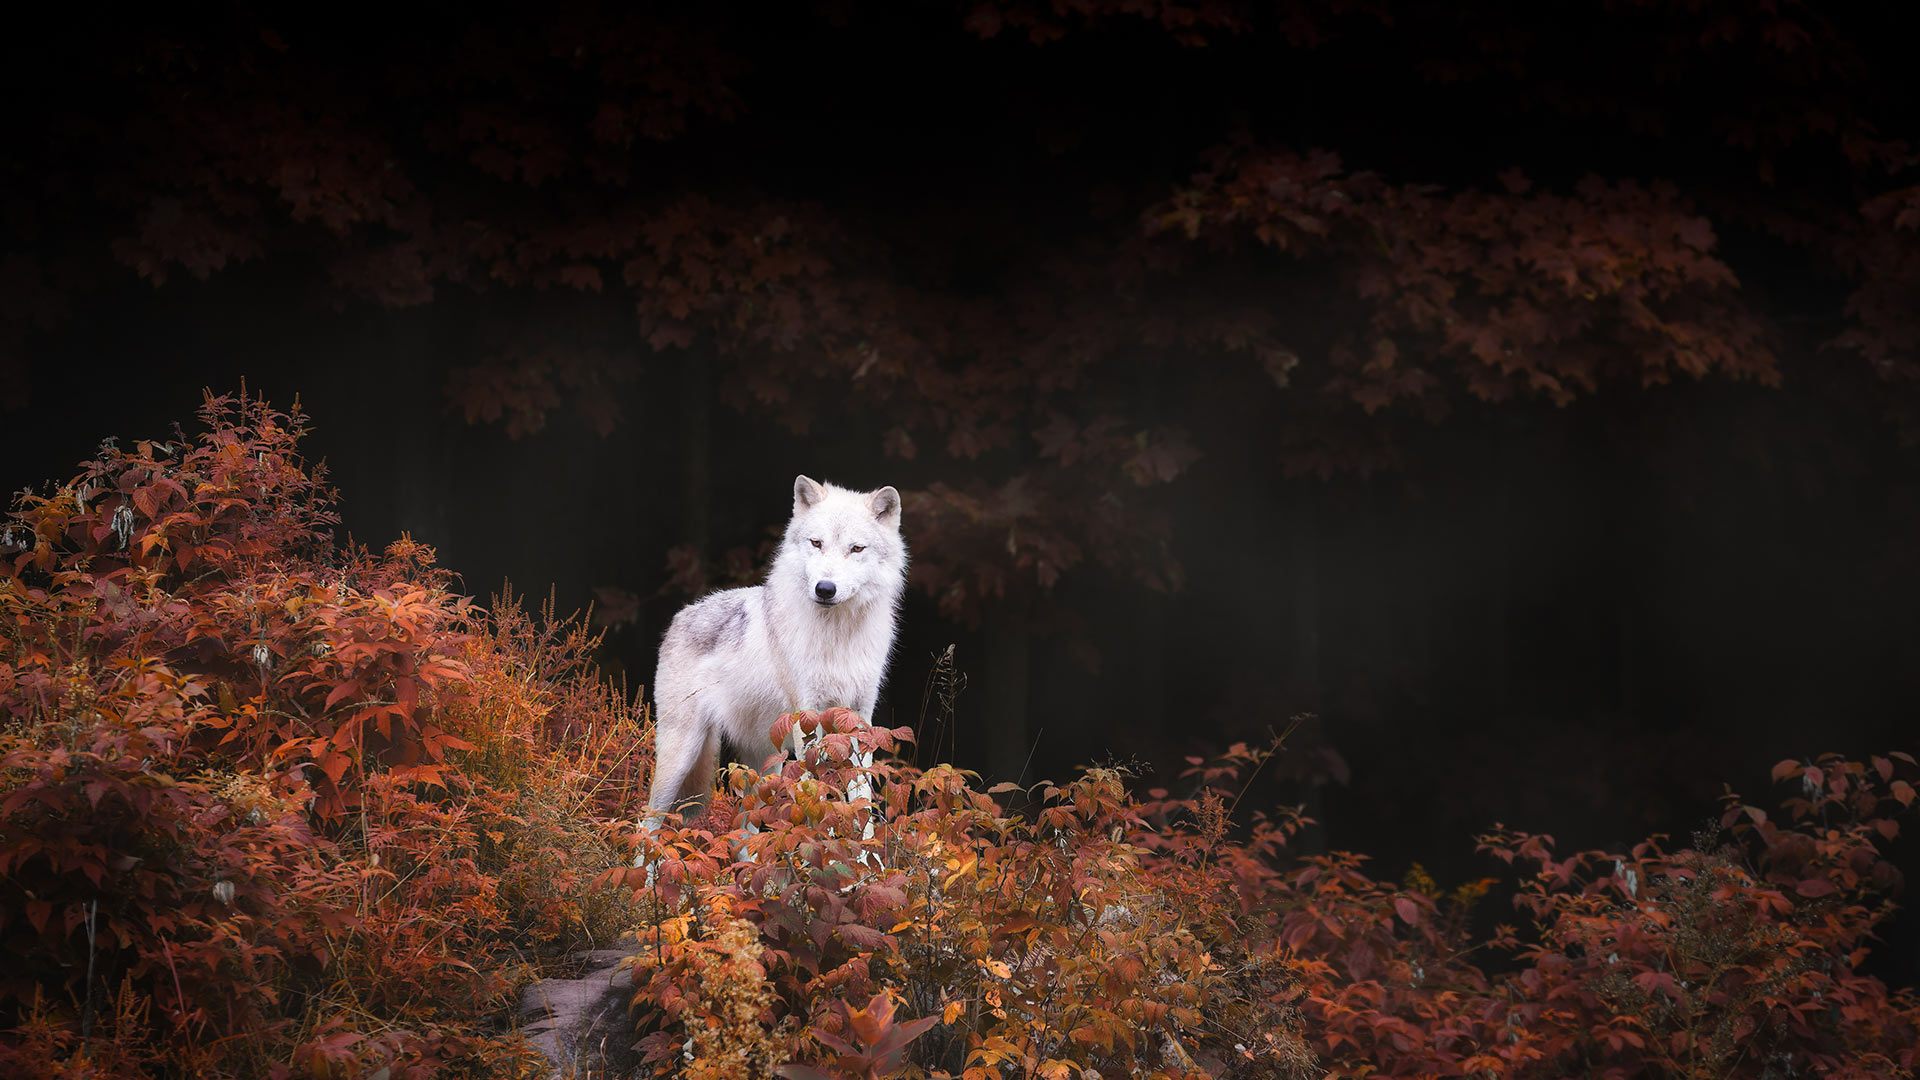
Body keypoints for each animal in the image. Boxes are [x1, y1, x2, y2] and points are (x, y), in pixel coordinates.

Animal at [645, 474, 907, 823]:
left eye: (856, 549)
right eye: (816, 543)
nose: (825, 589)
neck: (836, 637)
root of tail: (681, 615)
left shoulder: (859, 720)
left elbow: (860, 798)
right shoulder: (806, 717)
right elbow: (816, 795)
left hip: (764, 767)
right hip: (681, 757)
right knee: (646, 822)